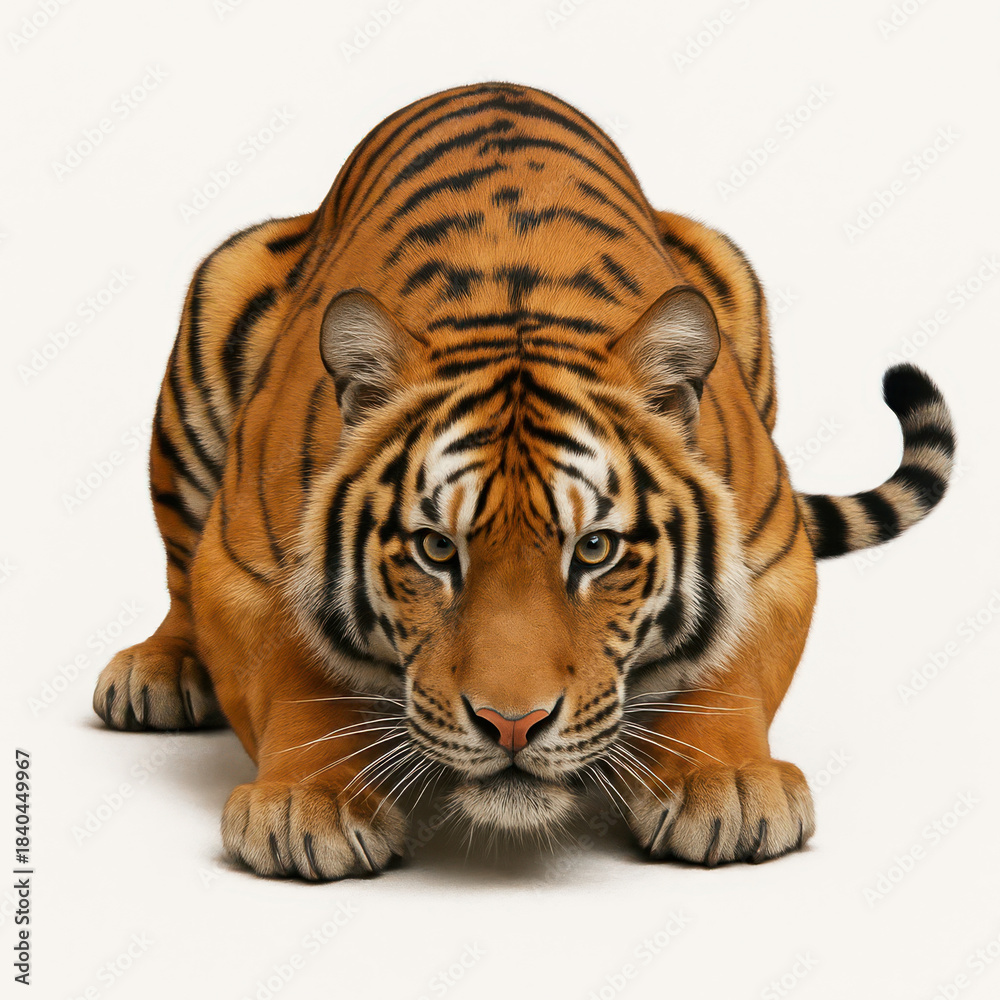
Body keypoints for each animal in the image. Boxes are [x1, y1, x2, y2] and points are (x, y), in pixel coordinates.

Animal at [93, 82, 955, 879]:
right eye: (436, 550)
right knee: (177, 575)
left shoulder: (773, 554)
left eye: (597, 549)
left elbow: (725, 669)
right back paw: (157, 671)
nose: (512, 725)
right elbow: (296, 683)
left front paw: (730, 786)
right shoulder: (243, 563)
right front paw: (309, 803)